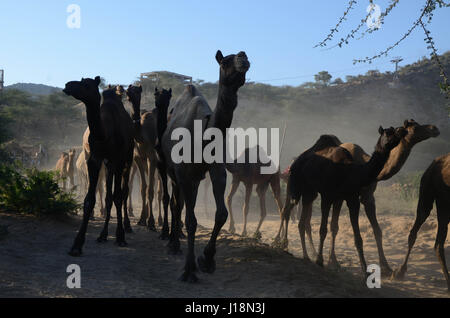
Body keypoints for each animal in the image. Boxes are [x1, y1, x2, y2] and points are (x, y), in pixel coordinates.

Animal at [62, 76, 134, 255]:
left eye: (87, 84)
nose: (68, 85)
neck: (104, 134)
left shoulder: (118, 159)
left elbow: (117, 196)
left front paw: (120, 237)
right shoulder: (95, 159)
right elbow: (90, 199)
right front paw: (77, 245)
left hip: (128, 159)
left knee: (123, 192)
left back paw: (123, 229)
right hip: (108, 165)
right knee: (109, 195)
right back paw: (103, 235)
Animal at [160, 49, 250, 280]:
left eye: (245, 56)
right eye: (225, 61)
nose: (243, 57)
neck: (204, 134)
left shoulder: (216, 168)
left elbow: (221, 214)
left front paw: (207, 260)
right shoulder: (182, 173)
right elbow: (190, 219)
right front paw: (189, 270)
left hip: (195, 177)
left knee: (183, 202)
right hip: (172, 172)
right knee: (175, 203)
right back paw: (173, 244)